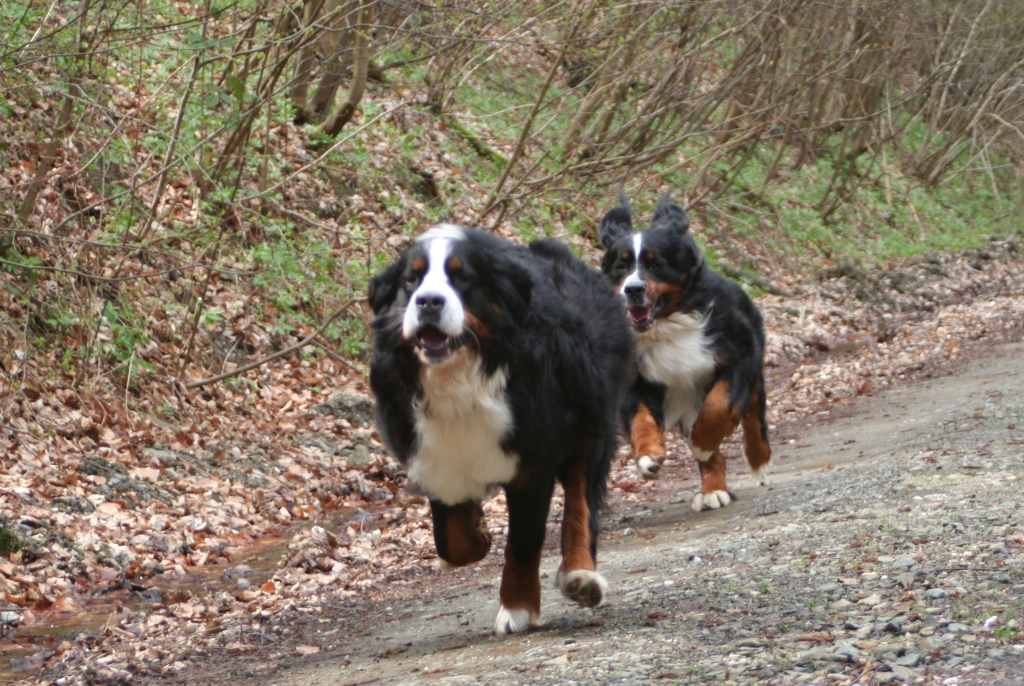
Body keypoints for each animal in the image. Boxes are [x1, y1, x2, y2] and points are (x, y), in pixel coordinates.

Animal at [368, 228, 630, 638]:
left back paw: (580, 576)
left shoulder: (532, 464)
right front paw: (476, 531)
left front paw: (517, 608)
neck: (460, 380)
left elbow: (522, 542)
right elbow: (454, 542)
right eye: (411, 280)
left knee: (580, 503)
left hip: (590, 418)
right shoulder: (434, 458)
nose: (428, 301)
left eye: (462, 277)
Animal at [598, 196, 770, 513]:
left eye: (656, 264)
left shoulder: (739, 357)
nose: (633, 288)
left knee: (753, 417)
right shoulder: (636, 378)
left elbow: (719, 405)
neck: (666, 326)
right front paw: (648, 456)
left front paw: (702, 443)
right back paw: (712, 490)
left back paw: (757, 461)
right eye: (621, 265)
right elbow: (641, 419)